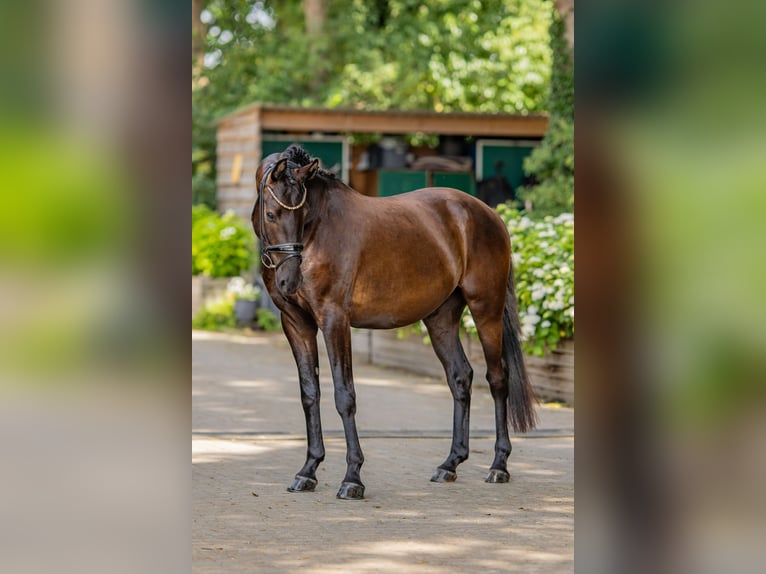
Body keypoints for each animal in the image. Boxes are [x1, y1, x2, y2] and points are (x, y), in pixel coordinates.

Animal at [251, 144, 536, 500]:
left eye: (301, 214)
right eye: (271, 214)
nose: (289, 280)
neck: (319, 230)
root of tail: (490, 215)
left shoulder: (334, 320)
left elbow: (344, 396)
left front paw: (352, 478)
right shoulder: (296, 324)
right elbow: (309, 394)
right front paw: (308, 470)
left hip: (487, 309)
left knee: (497, 379)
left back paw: (499, 465)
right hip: (441, 318)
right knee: (460, 377)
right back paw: (450, 464)